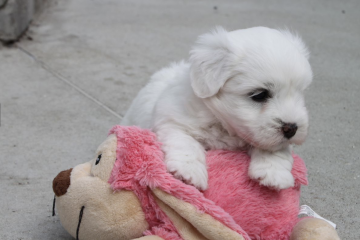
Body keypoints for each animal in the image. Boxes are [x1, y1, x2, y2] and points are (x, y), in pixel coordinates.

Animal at [121, 26, 312, 191]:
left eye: (299, 93)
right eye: (259, 95)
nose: (292, 128)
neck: (222, 123)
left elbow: (276, 148)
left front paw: (274, 173)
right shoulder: (173, 122)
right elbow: (187, 143)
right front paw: (189, 172)